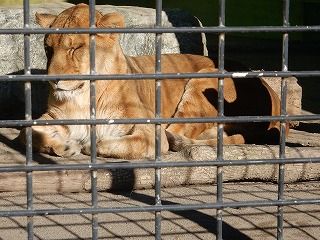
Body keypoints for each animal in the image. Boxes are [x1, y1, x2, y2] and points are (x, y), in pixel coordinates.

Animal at [18, 3, 288, 159]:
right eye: (48, 49)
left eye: (75, 48)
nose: (53, 81)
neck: (85, 96)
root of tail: (275, 99)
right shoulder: (55, 117)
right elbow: (26, 133)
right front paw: (64, 146)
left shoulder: (147, 130)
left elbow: (120, 143)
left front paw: (86, 145)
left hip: (203, 80)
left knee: (176, 134)